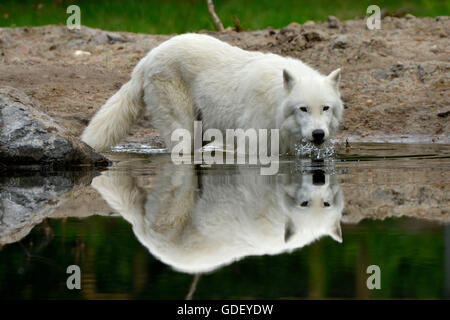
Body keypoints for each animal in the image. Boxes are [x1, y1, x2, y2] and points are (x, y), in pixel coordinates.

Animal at [81, 33, 342, 153]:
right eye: (303, 109)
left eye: (325, 108)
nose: (318, 134)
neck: (275, 99)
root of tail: (148, 56)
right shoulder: (252, 144)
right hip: (182, 128)